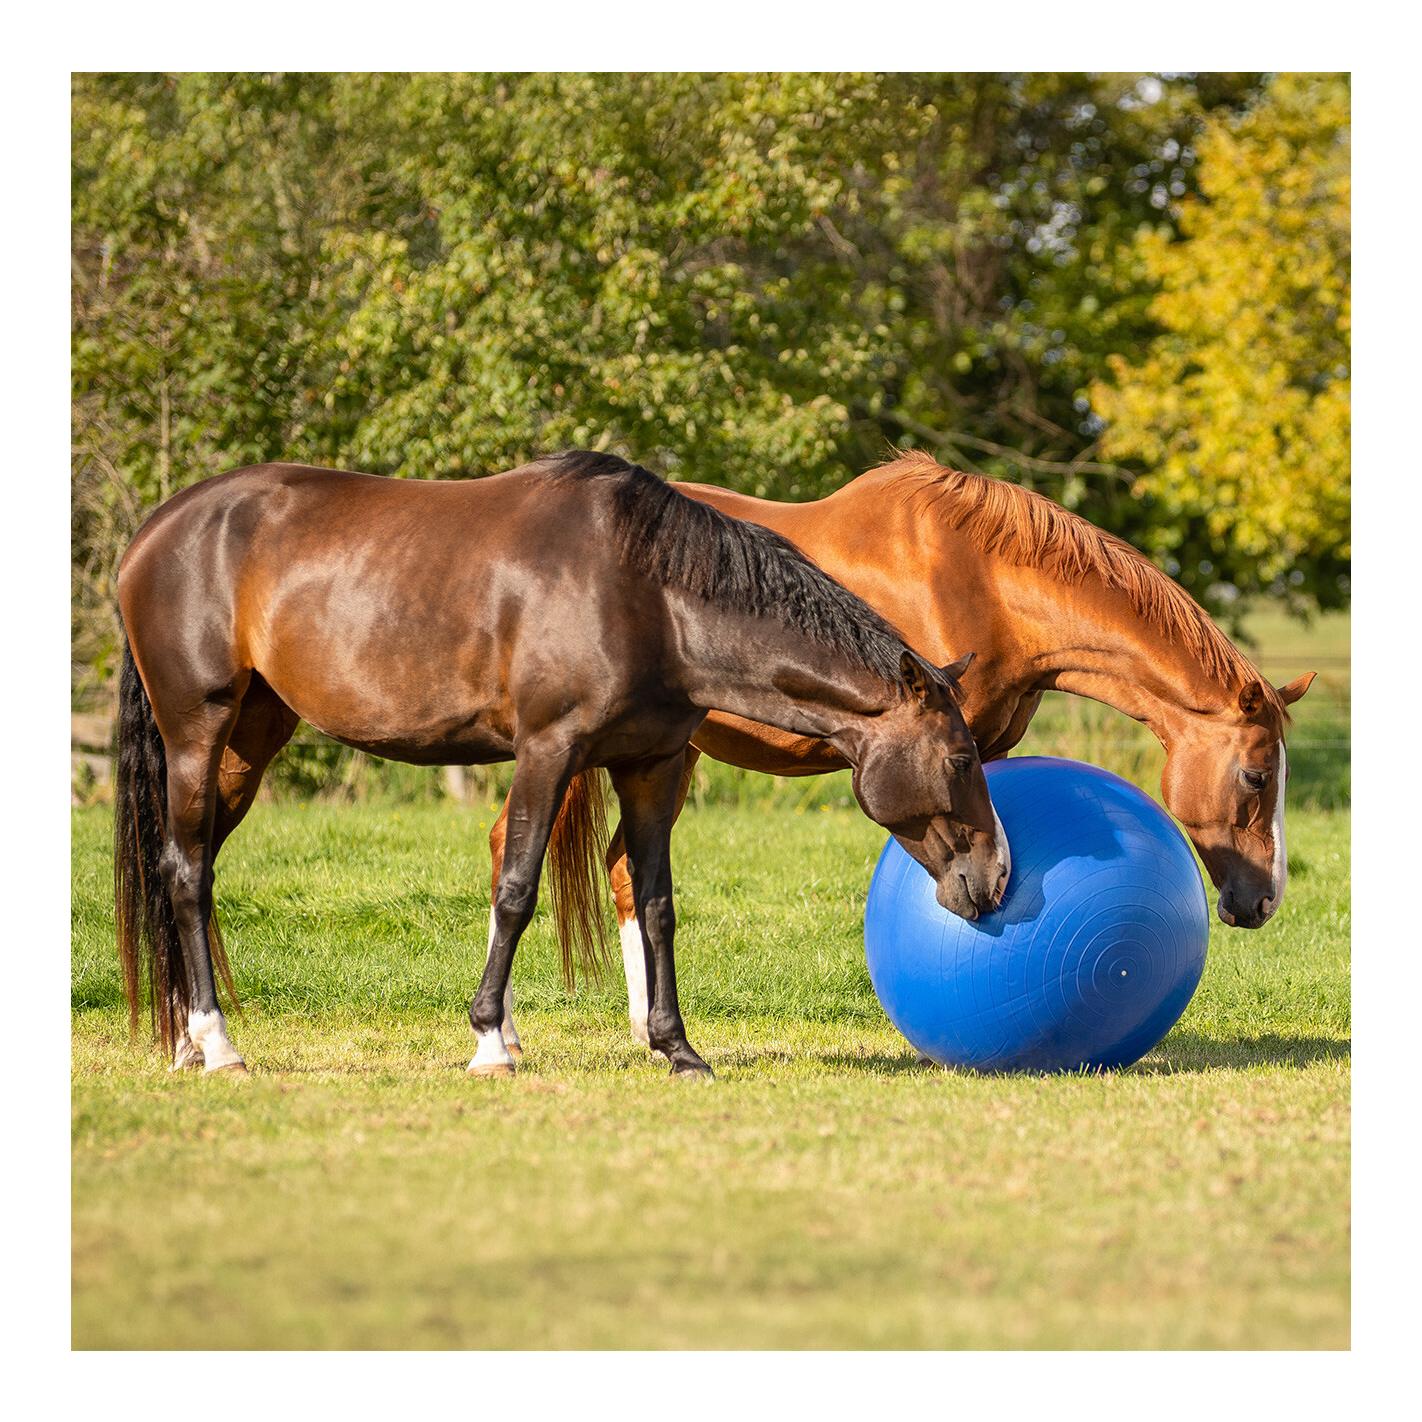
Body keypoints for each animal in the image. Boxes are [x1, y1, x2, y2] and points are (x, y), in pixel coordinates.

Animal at [114, 450, 1010, 1079]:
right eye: (961, 755)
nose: (996, 877)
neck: (650, 596)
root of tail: (154, 534)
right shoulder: (548, 752)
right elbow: (516, 890)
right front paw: (489, 1042)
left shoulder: (650, 767)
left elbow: (656, 904)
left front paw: (678, 1049)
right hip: (198, 734)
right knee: (188, 874)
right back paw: (218, 1045)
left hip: (249, 742)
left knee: (187, 869)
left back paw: (186, 1040)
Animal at [490, 450, 1316, 1054]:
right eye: (1257, 775)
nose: (1264, 900)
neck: (984, 578)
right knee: (522, 847)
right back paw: (509, 1036)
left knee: (621, 868)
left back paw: (643, 1032)